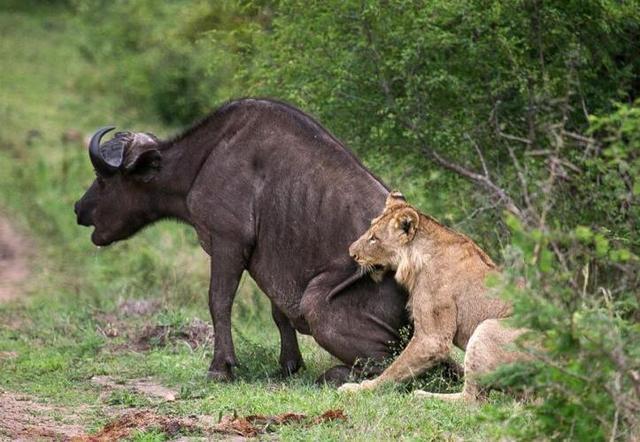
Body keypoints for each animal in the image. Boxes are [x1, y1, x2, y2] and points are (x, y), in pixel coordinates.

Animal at [72, 99, 408, 384]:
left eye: (102, 179)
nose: (78, 208)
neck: (204, 160)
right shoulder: (273, 259)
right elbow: (278, 312)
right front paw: (288, 364)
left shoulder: (227, 244)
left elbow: (218, 301)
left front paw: (221, 367)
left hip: (317, 302)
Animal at [338, 192, 528, 402]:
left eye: (374, 238)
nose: (351, 252)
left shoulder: (432, 339)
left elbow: (394, 370)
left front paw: (361, 388)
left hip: (488, 328)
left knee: (471, 400)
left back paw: (422, 395)